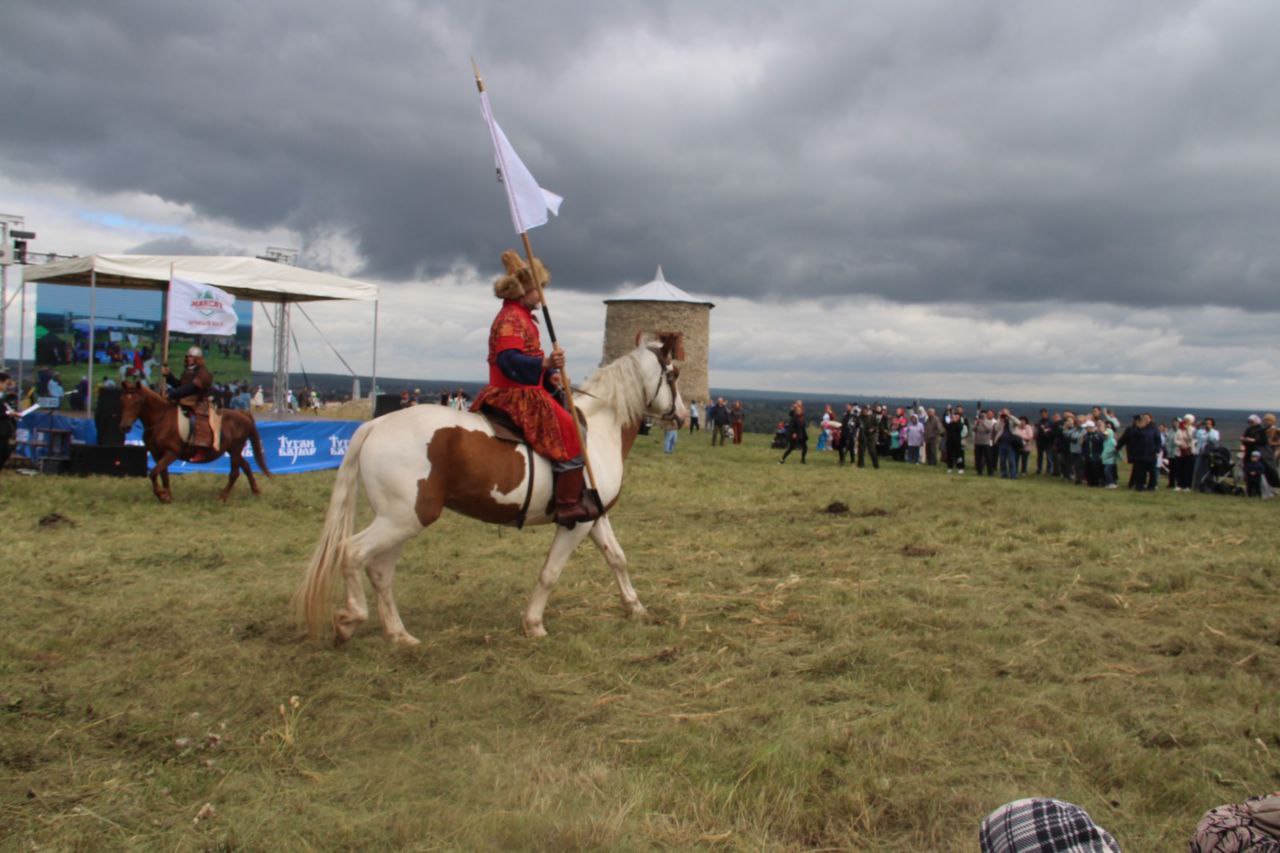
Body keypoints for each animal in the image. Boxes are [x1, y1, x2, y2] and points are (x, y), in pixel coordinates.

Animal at [118, 376, 272, 499]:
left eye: (137, 402)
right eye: (123, 401)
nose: (125, 426)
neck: (161, 420)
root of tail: (243, 414)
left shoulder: (171, 453)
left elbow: (154, 473)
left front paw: (161, 494)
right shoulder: (157, 454)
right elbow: (163, 474)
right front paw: (167, 495)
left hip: (235, 448)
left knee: (234, 472)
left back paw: (223, 497)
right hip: (232, 450)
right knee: (245, 466)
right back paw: (256, 491)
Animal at [294, 335, 686, 640]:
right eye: (674, 375)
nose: (682, 416)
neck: (601, 427)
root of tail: (376, 425)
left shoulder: (594, 517)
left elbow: (617, 558)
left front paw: (635, 607)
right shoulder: (576, 524)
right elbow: (550, 572)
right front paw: (534, 624)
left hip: (401, 521)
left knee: (379, 571)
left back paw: (399, 634)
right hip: (402, 519)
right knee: (352, 553)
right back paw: (351, 619)